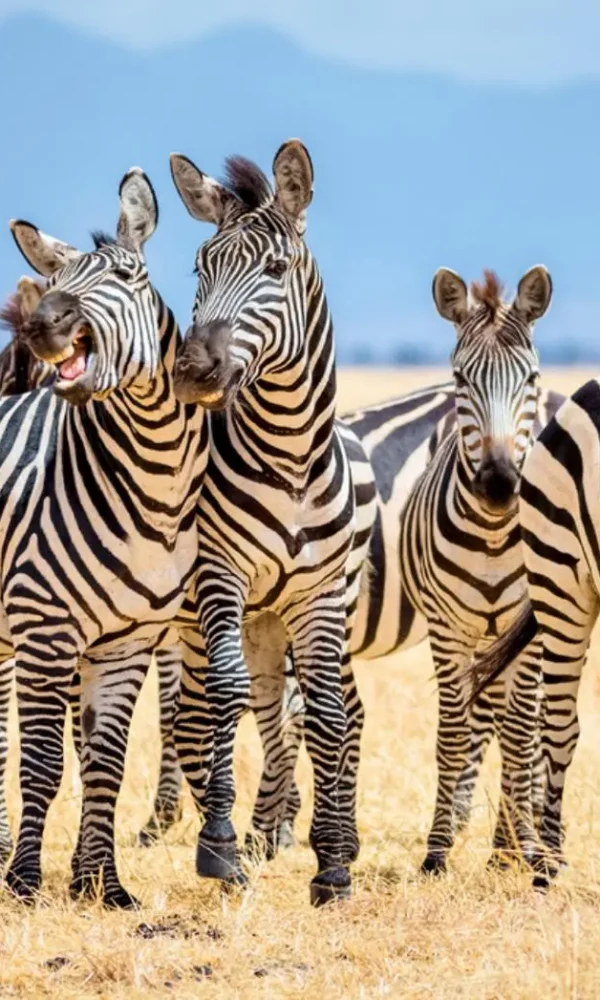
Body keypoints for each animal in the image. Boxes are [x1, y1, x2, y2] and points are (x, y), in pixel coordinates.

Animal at [170, 140, 378, 905]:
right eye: (198, 269)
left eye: (276, 270)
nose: (193, 371)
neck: (289, 454)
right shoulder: (220, 577)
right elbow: (226, 700)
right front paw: (221, 848)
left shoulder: (317, 596)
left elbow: (326, 712)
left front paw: (335, 865)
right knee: (228, 707)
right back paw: (249, 836)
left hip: (293, 613)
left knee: (304, 710)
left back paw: (291, 833)